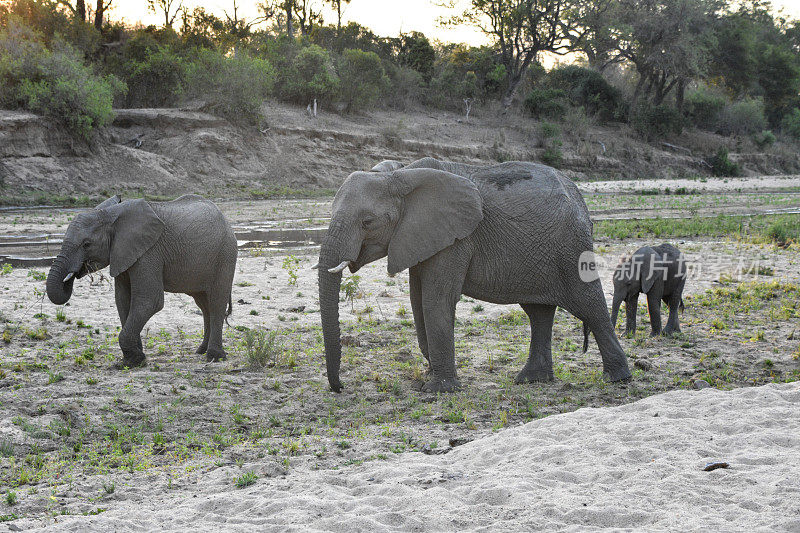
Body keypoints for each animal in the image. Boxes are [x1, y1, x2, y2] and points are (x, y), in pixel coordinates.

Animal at [47, 194, 238, 366]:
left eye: (86, 244)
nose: (73, 273)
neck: (110, 214)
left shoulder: (149, 253)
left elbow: (150, 301)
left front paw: (133, 361)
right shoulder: (123, 254)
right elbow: (123, 301)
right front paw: (132, 359)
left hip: (226, 254)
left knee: (216, 302)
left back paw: (214, 357)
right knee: (204, 304)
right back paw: (201, 351)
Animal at [316, 156, 636, 392]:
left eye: (367, 222)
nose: (339, 387)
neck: (401, 174)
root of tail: (579, 196)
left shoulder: (456, 240)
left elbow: (436, 300)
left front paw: (439, 389)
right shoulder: (420, 235)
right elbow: (417, 301)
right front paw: (431, 374)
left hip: (571, 245)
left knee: (588, 303)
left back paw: (617, 379)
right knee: (538, 312)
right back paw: (531, 380)